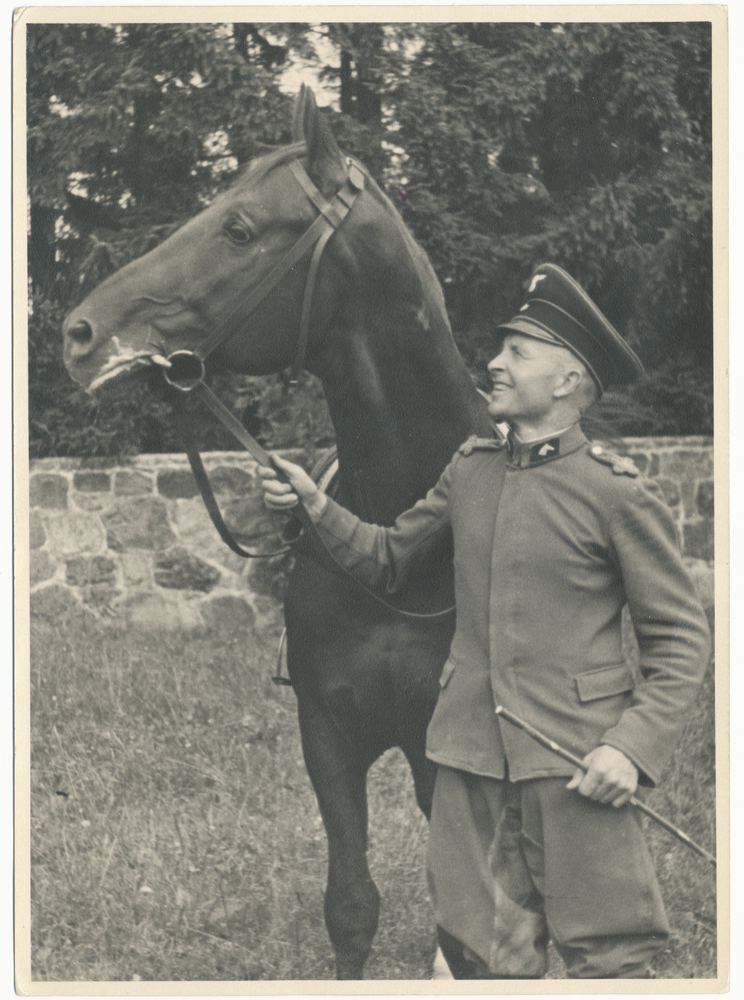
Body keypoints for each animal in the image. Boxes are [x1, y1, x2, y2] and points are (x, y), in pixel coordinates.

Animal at [64, 86, 494, 976]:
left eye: (238, 228)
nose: (81, 333)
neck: (400, 551)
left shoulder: (448, 752)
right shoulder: (326, 732)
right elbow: (352, 907)